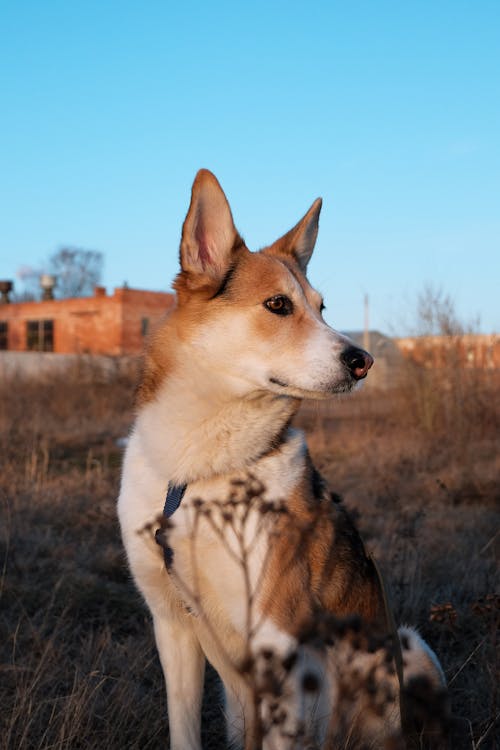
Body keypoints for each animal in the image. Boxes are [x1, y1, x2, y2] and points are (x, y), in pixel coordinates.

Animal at [119, 172, 448, 750]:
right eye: (277, 305)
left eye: (322, 307)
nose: (363, 361)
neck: (200, 469)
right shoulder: (172, 625)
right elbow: (183, 727)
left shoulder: (274, 639)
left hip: (407, 649)